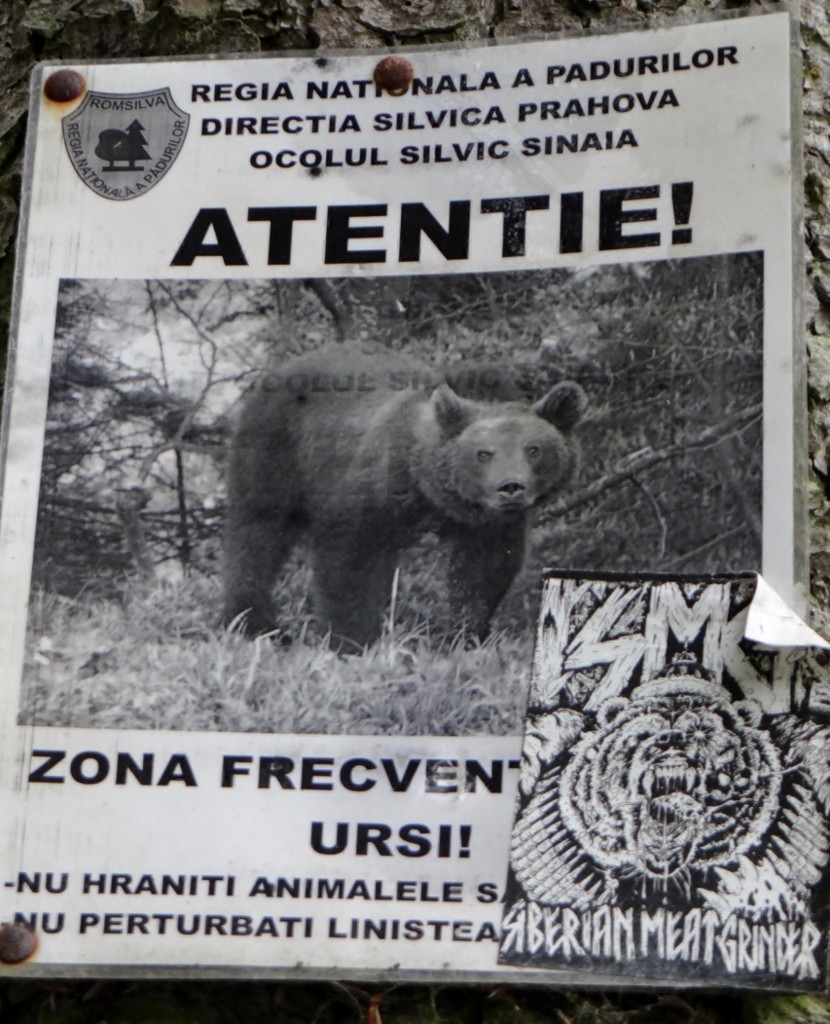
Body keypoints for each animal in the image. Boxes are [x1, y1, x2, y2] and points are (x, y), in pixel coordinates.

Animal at [223, 346, 587, 648]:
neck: (430, 490)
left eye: (533, 449)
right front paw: (352, 639)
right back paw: (254, 622)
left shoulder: (486, 525)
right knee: (258, 533)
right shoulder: (374, 495)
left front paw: (466, 634)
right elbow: (350, 561)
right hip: (277, 452)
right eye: (484, 453)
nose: (510, 486)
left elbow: (482, 572)